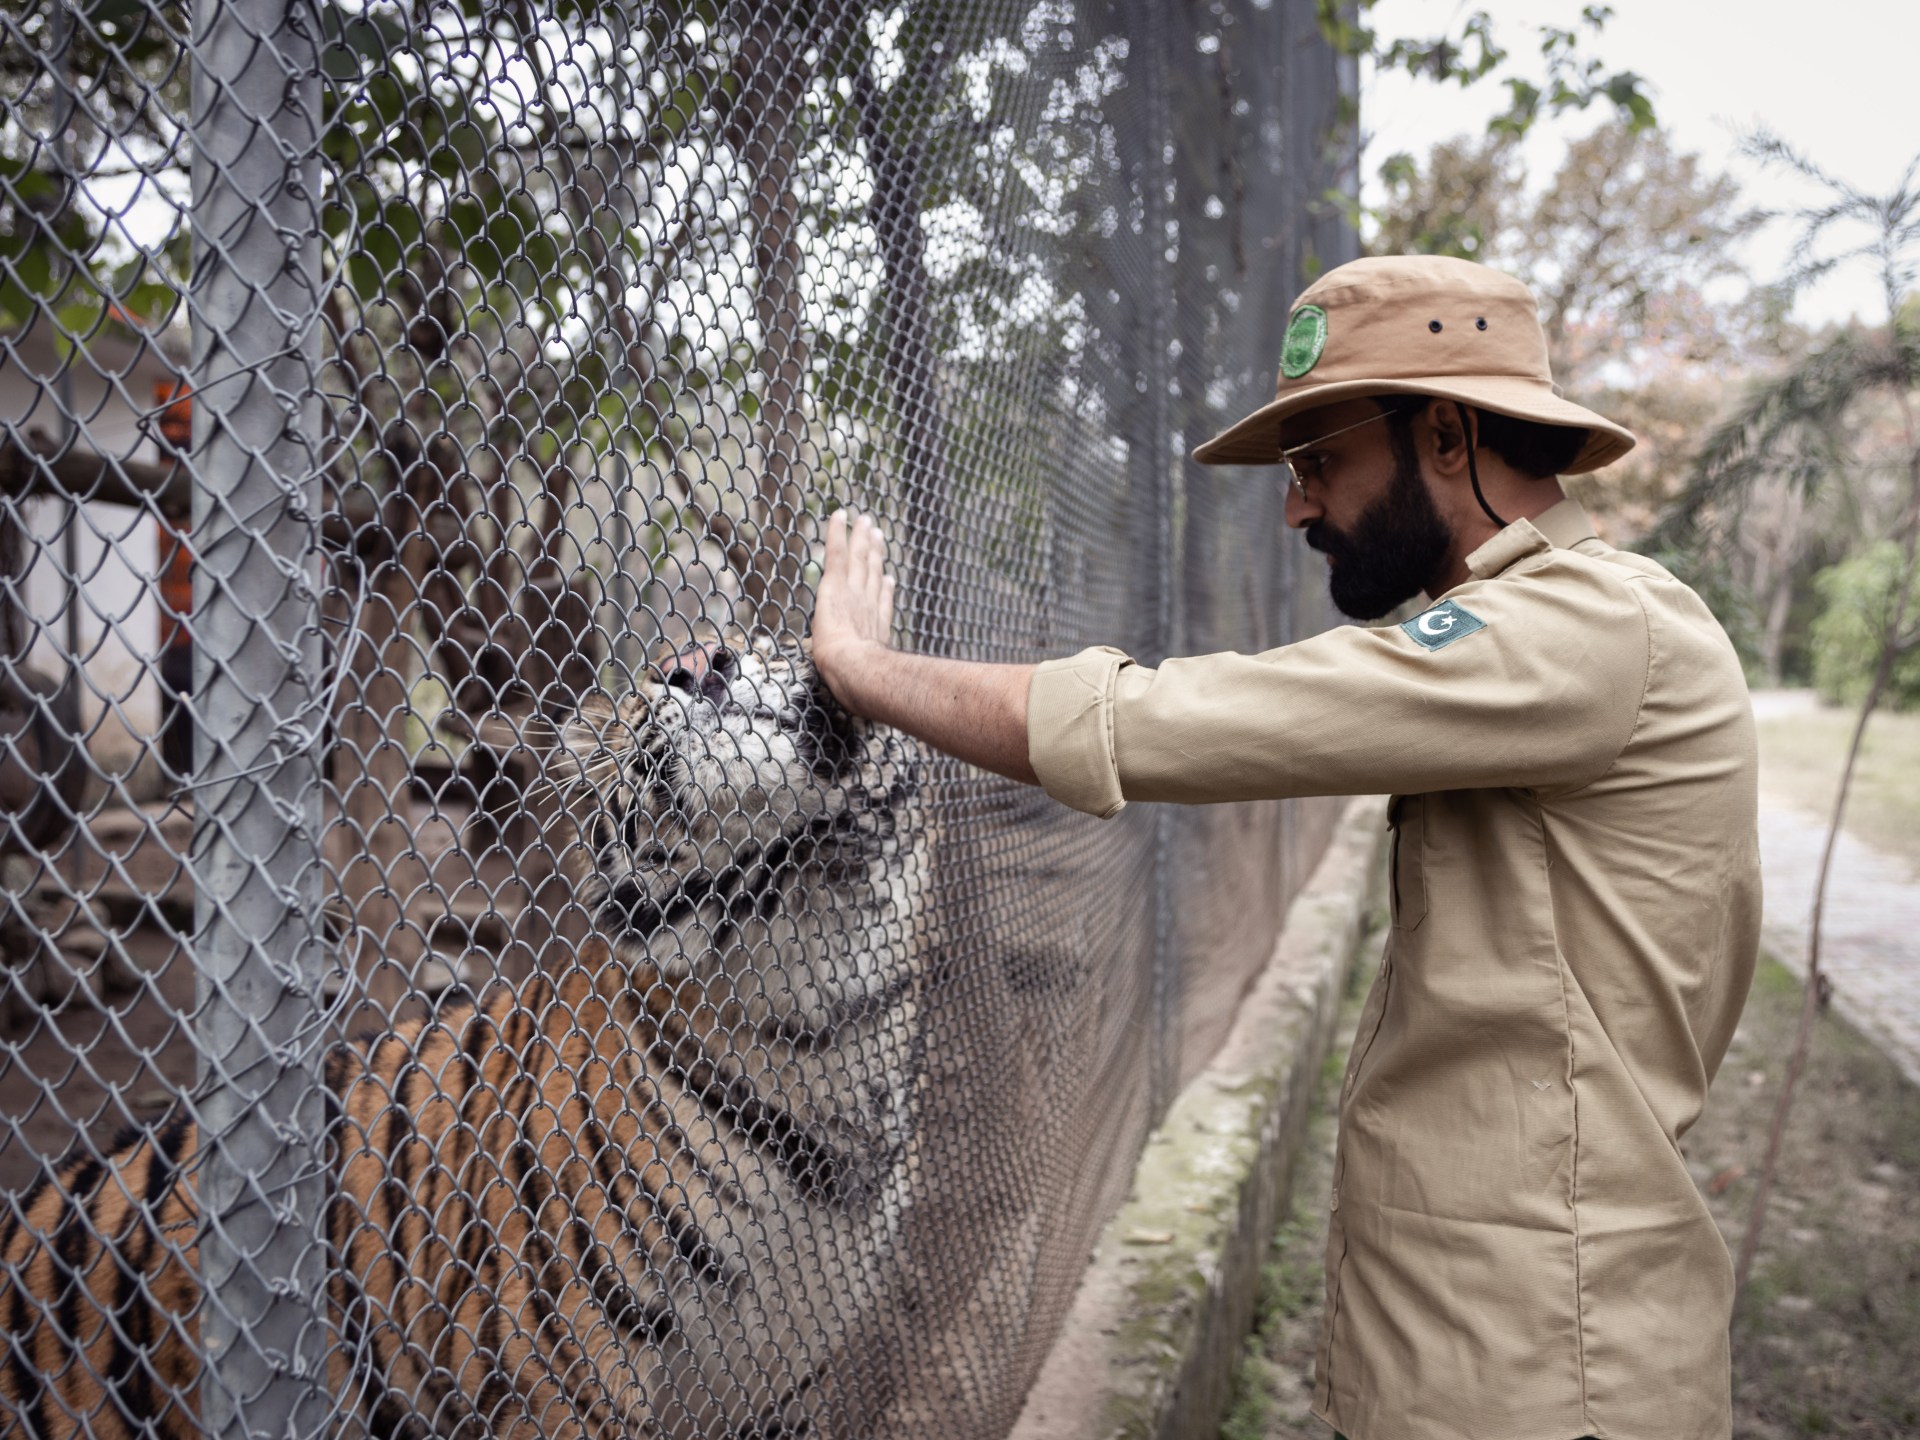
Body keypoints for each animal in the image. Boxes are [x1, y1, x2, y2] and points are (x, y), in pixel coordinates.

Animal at [0, 641, 929, 1440]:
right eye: (642, 696)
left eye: (767, 639)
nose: (699, 663)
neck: (822, 1014)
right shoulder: (558, 1370)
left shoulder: (780, 1387)